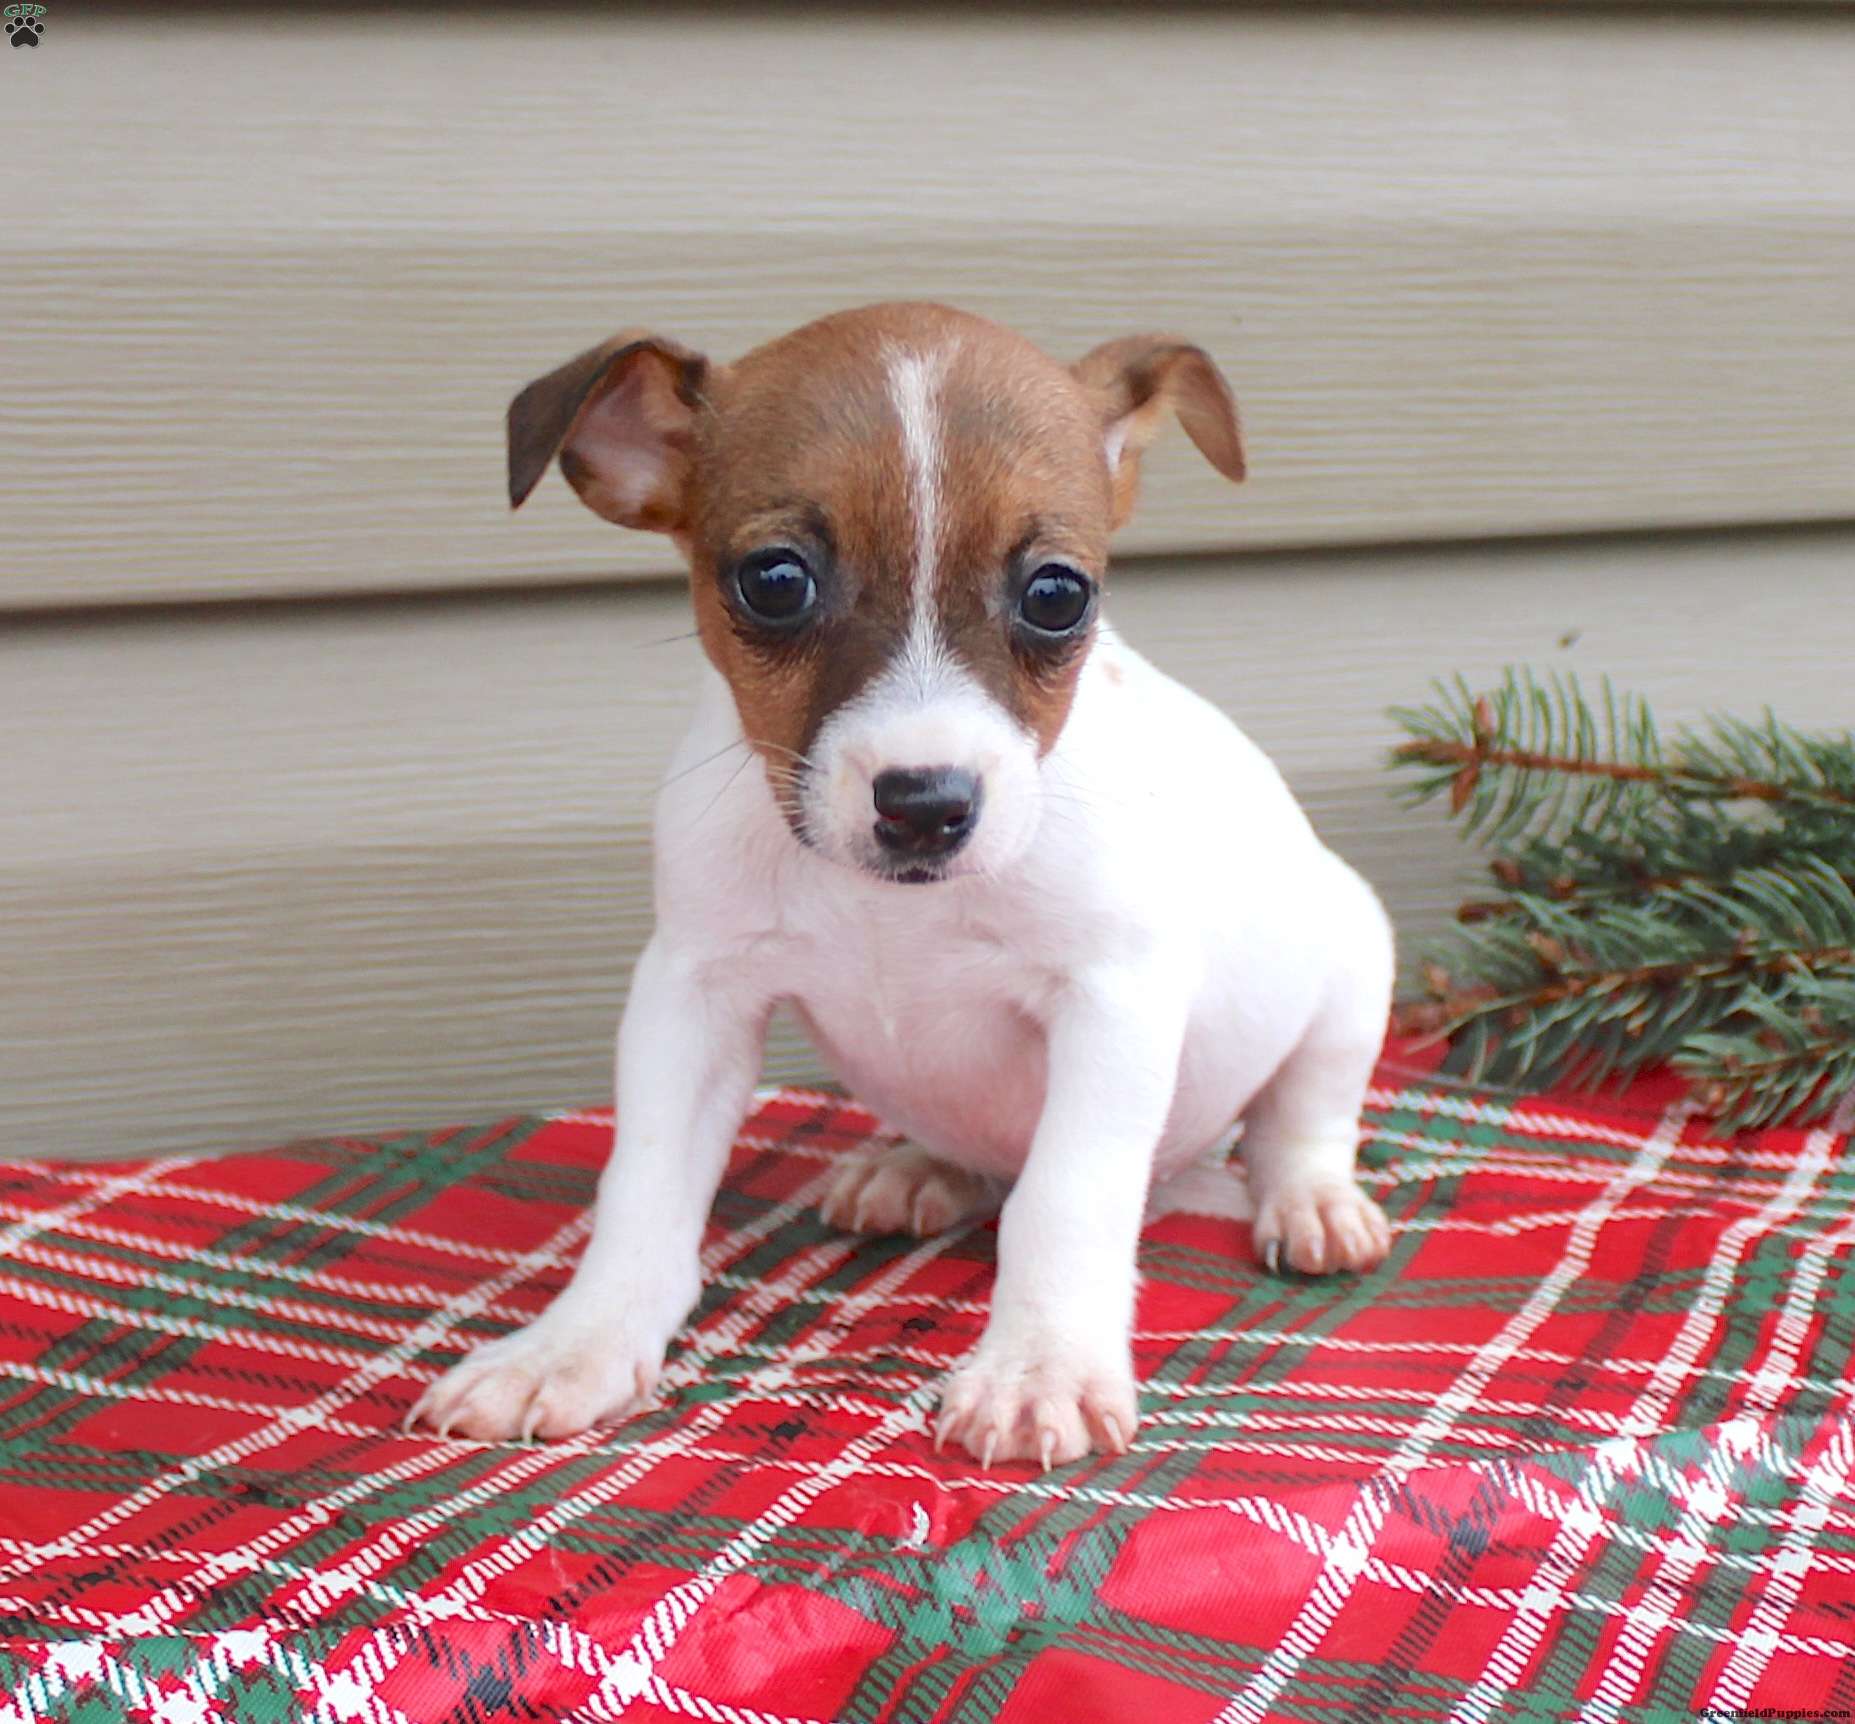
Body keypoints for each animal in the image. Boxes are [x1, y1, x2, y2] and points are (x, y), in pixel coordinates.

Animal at [410, 303, 1393, 1467]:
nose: (925, 803)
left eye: (1057, 594)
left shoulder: (1113, 1003)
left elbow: (1066, 1196)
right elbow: (641, 1188)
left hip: (1351, 963)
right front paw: (577, 1344)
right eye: (774, 579)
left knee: (1301, 1117)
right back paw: (922, 1166)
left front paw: (1040, 1365)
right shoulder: (690, 995)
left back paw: (1312, 1201)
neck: (893, 907)